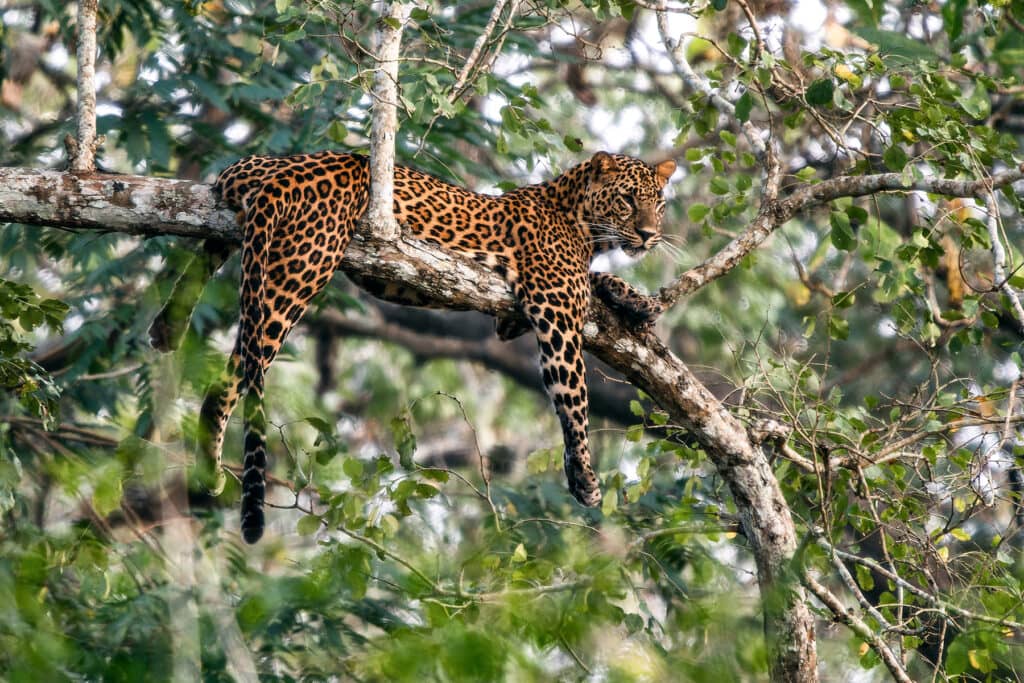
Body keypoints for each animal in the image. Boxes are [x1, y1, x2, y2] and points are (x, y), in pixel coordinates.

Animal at [197, 150, 679, 544]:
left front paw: (636, 300)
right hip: (298, 270)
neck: (579, 218)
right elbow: (574, 397)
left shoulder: (511, 320)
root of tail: (278, 166)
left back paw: (208, 467)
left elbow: (600, 282)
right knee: (236, 375)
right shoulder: (555, 311)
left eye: (659, 204)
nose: (649, 234)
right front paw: (584, 475)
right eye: (627, 200)